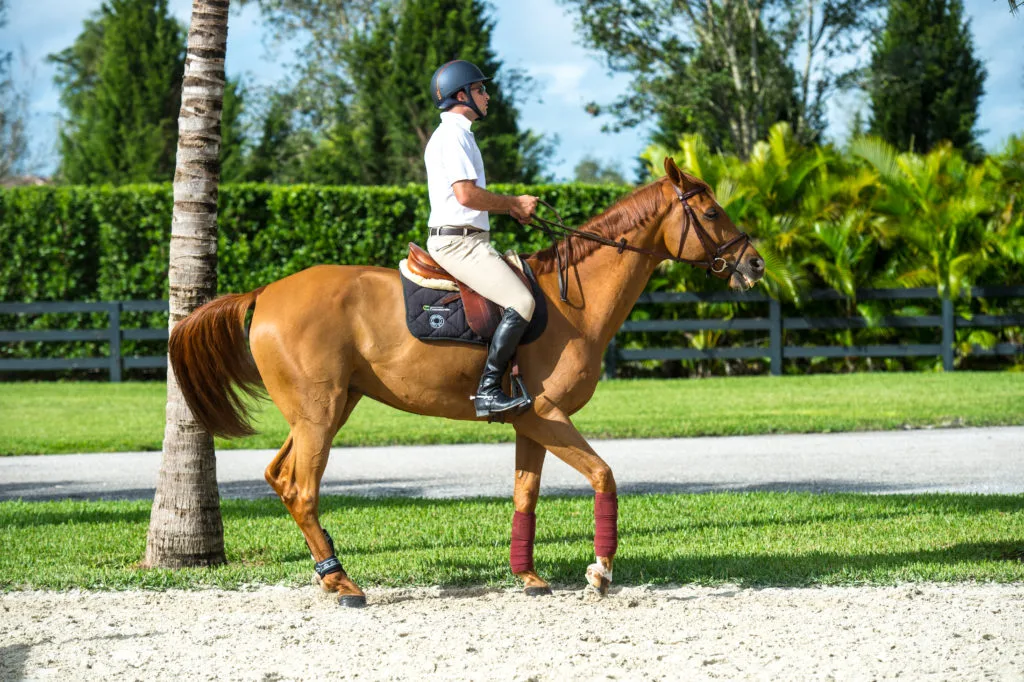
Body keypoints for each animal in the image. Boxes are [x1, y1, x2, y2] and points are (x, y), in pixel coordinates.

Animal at [168, 158, 765, 606]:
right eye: (711, 210)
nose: (755, 264)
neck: (572, 302)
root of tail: (265, 292)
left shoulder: (530, 422)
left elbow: (525, 495)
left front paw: (528, 577)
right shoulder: (548, 415)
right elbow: (604, 476)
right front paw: (600, 573)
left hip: (326, 410)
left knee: (279, 477)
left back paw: (328, 574)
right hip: (320, 414)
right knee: (301, 488)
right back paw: (341, 582)